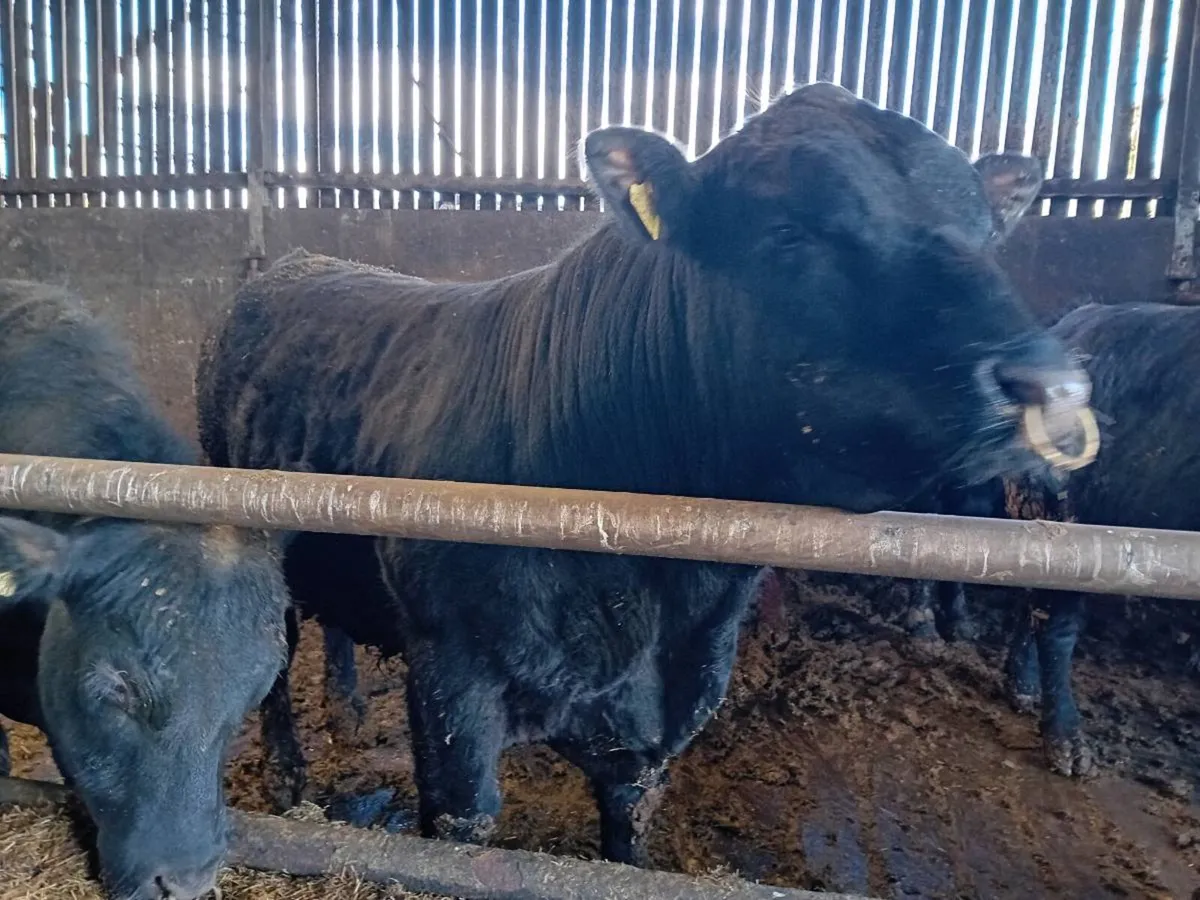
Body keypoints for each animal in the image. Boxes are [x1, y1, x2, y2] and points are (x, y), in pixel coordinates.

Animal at [194, 82, 1099, 865]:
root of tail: (292, 264)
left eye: (986, 232)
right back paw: (289, 783)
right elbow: (465, 821)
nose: (1048, 384)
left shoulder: (660, 720)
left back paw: (348, 711)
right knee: (273, 664)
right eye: (789, 233)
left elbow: (627, 833)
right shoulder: (452, 687)